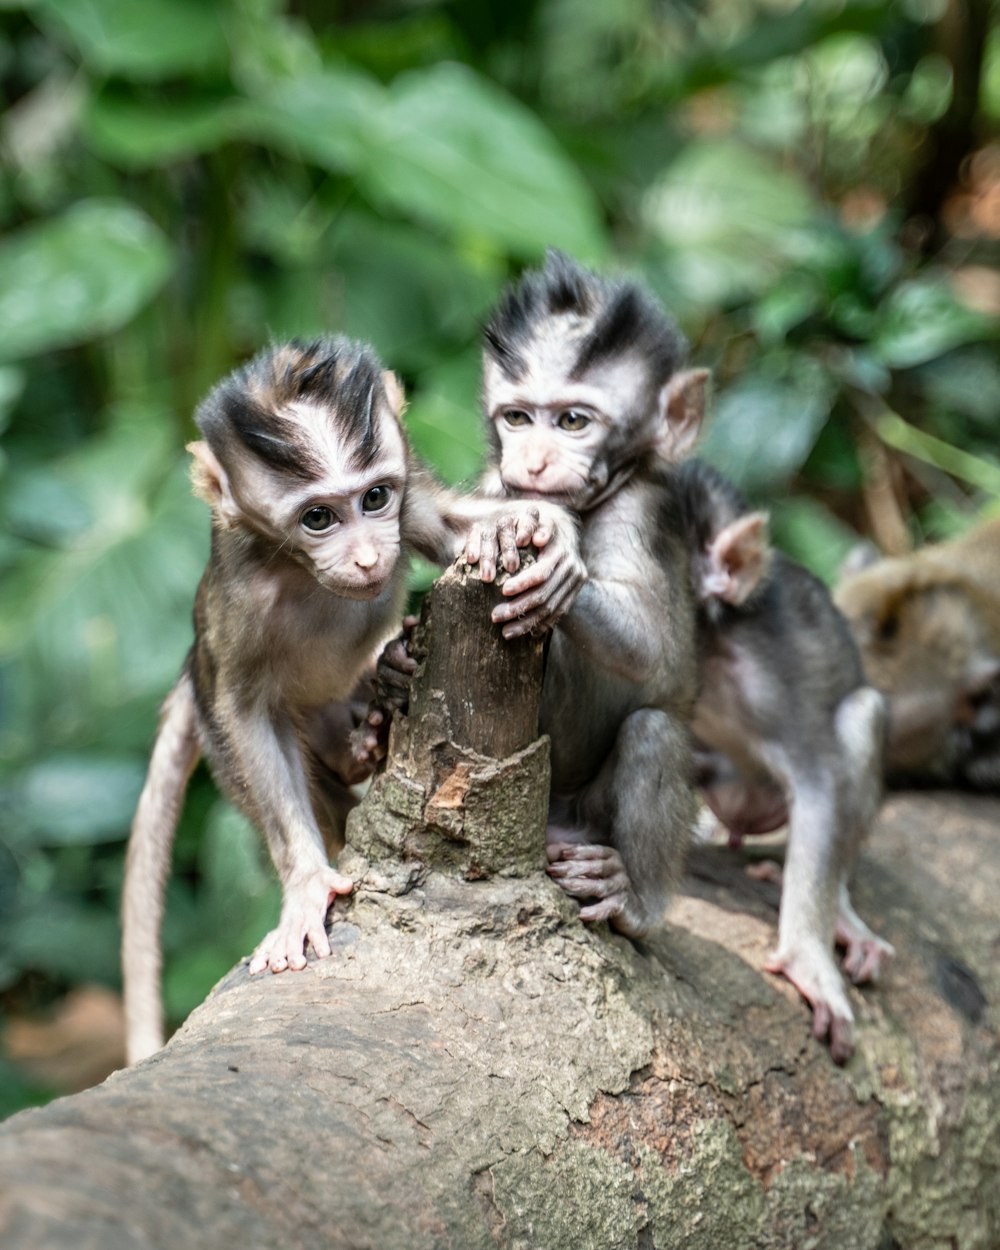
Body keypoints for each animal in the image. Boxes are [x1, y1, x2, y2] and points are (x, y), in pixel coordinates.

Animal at [125, 335, 582, 1065]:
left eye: (373, 498)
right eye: (318, 517)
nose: (369, 558)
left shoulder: (406, 507)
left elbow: (446, 526)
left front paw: (540, 528)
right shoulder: (239, 596)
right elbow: (246, 710)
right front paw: (307, 885)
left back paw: (383, 697)